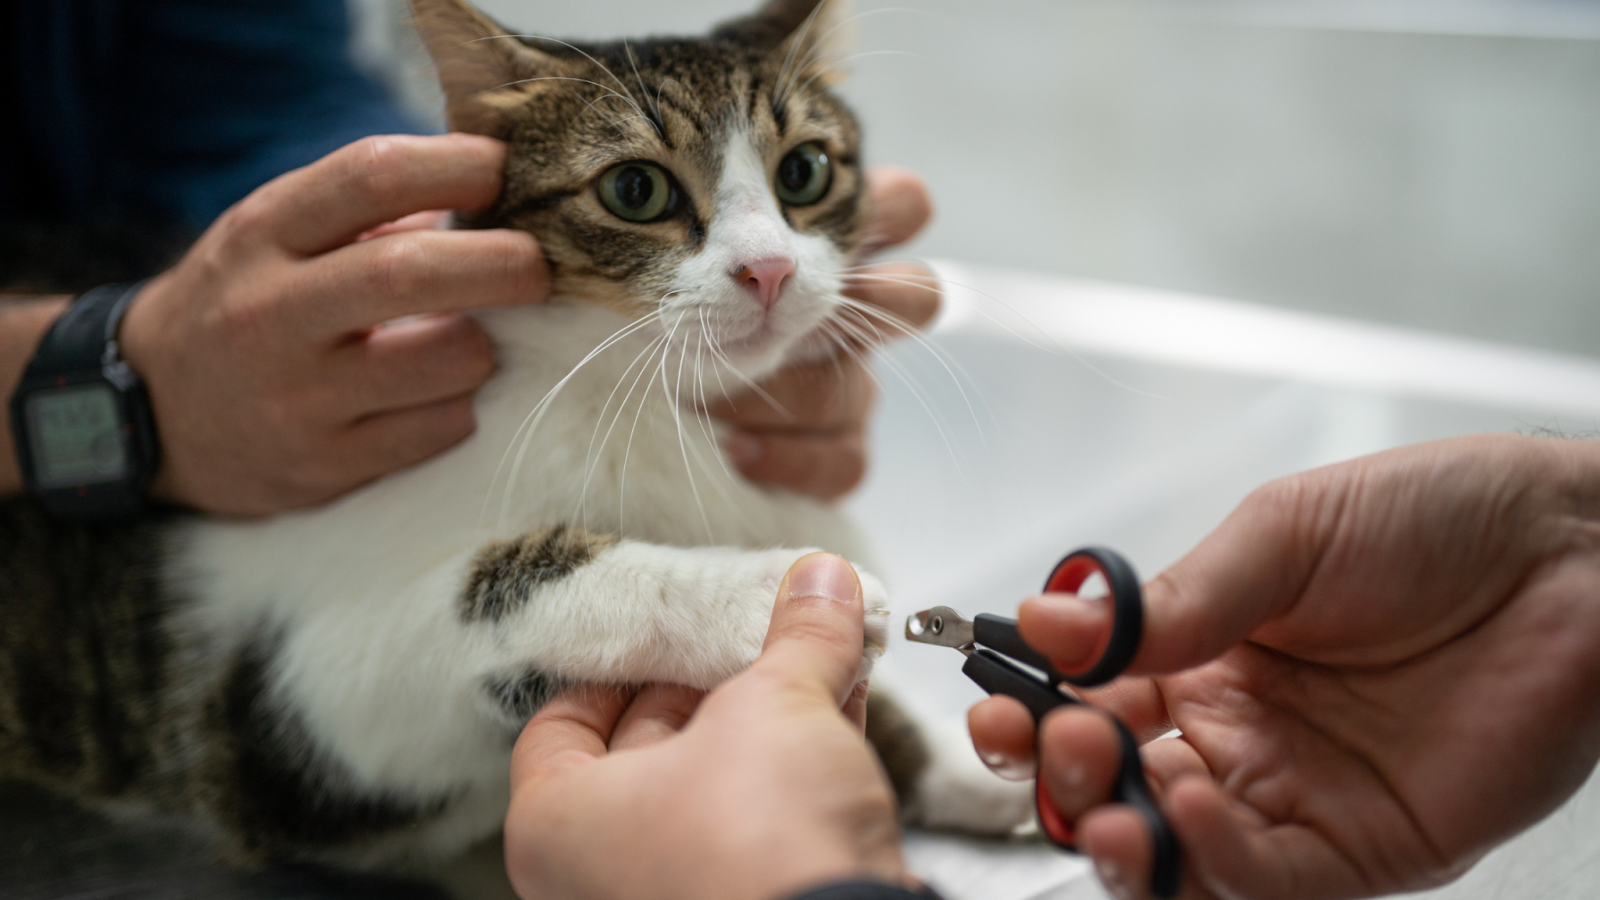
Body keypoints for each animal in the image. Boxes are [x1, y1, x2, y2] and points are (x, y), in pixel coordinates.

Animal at [0, 0, 1030, 877]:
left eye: (805, 172)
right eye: (635, 188)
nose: (770, 270)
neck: (644, 407)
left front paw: (963, 754)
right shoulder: (279, 710)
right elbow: (514, 582)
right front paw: (766, 589)